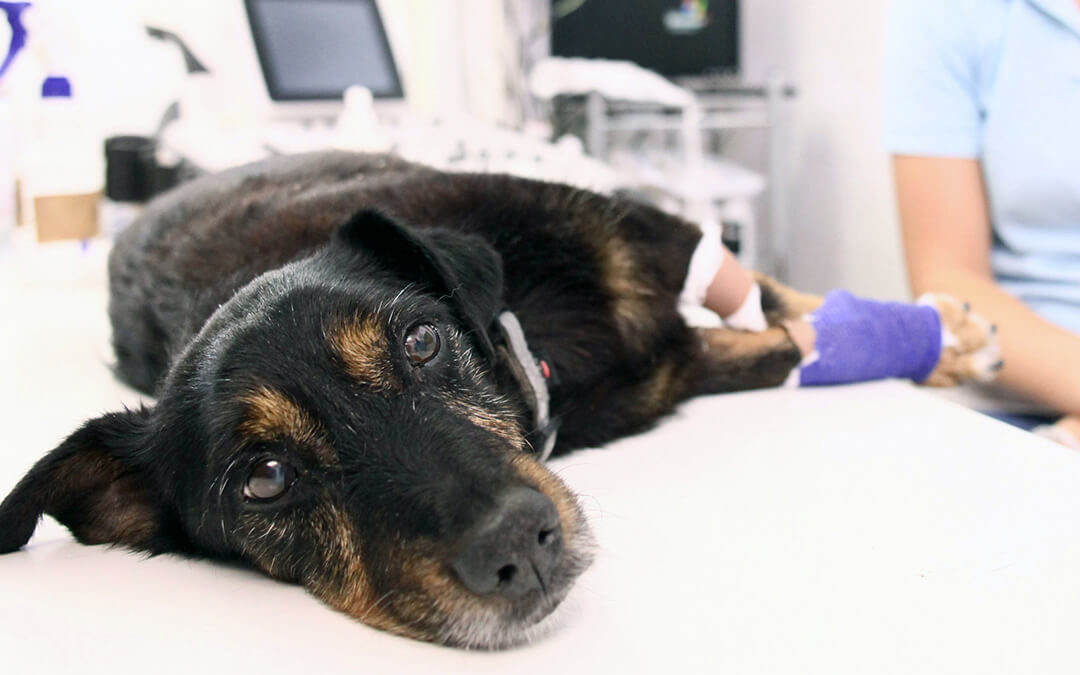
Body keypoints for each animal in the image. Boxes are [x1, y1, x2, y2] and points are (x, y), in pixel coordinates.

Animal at [0, 150, 989, 643]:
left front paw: (946, 338)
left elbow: (782, 305)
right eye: (265, 478)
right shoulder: (680, 361)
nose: (519, 543)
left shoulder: (654, 235)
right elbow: (788, 343)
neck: (537, 347)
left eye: (422, 340)